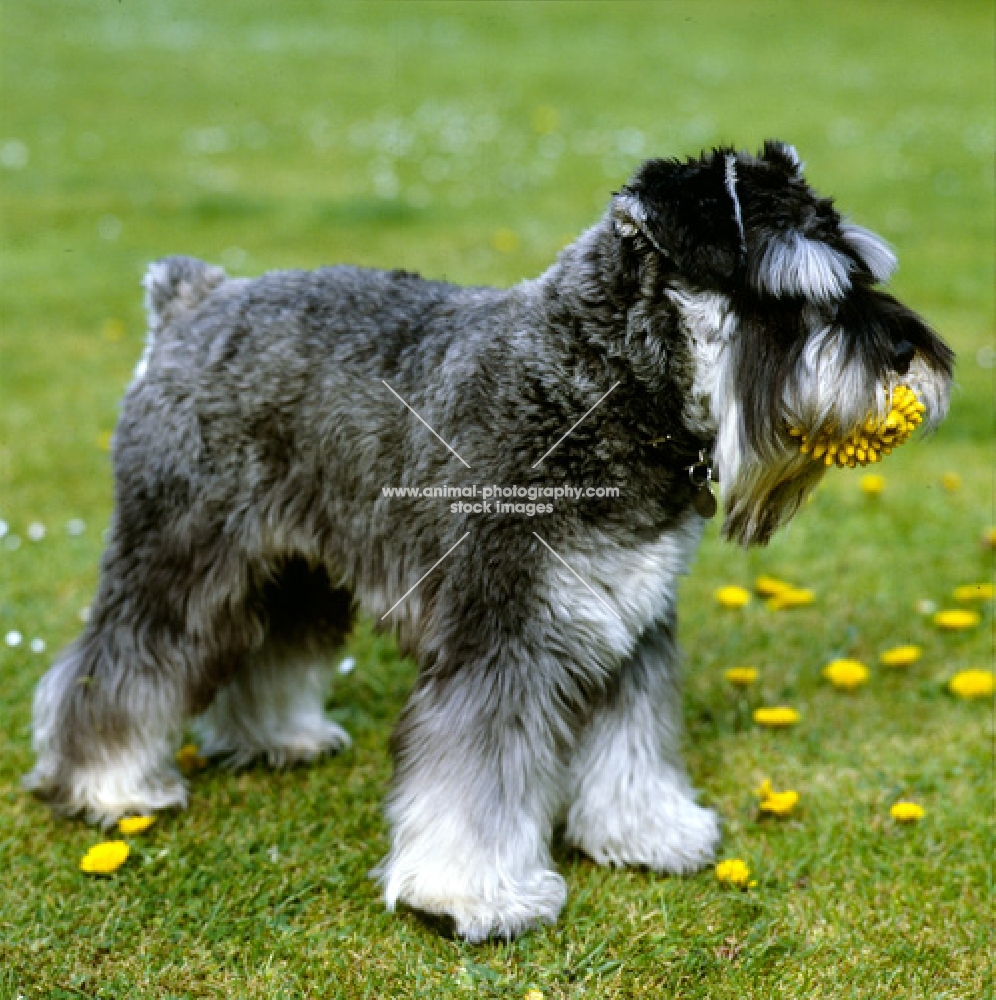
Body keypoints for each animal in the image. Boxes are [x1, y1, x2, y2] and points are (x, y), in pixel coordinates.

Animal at [27, 141, 952, 936]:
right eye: (785, 291)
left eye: (862, 269)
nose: (907, 351)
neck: (598, 380)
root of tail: (192, 300)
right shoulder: (500, 635)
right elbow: (477, 776)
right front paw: (473, 894)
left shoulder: (634, 619)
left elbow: (633, 742)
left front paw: (645, 832)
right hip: (182, 553)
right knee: (121, 660)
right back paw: (108, 785)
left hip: (298, 566)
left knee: (271, 647)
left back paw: (278, 738)